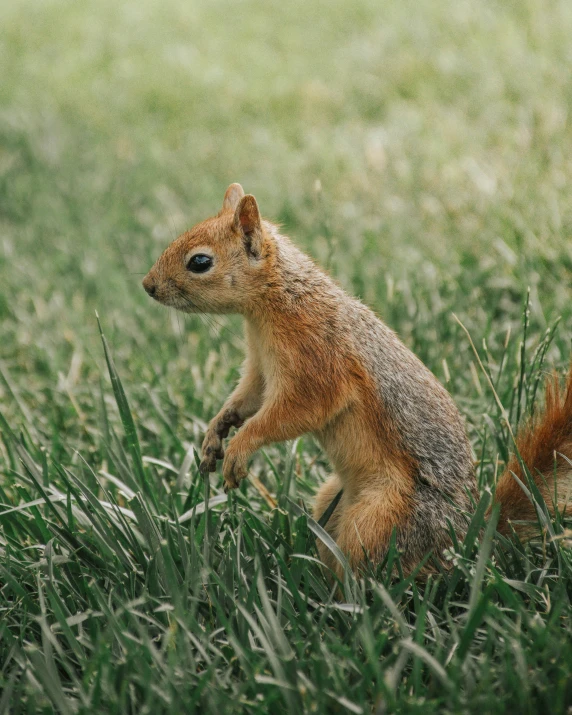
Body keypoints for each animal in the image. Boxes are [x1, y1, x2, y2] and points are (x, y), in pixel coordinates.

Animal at [143, 182, 572, 580]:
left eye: (200, 261)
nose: (148, 286)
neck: (274, 302)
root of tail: (467, 539)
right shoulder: (261, 368)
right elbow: (248, 397)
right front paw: (217, 430)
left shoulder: (317, 360)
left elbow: (296, 411)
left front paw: (242, 446)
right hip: (332, 502)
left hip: (381, 521)